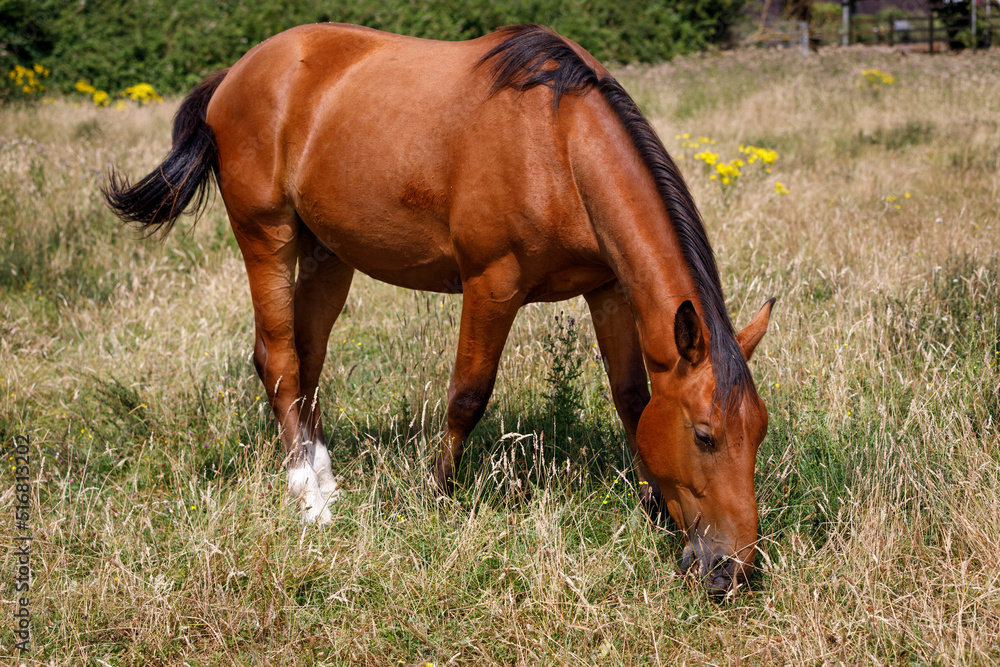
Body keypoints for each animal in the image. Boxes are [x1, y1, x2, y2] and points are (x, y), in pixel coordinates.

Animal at [104, 23, 774, 595]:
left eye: (759, 432)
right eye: (706, 436)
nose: (733, 570)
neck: (555, 142)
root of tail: (236, 74)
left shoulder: (608, 289)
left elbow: (632, 400)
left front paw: (653, 507)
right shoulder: (492, 285)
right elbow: (468, 394)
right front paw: (436, 497)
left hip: (327, 251)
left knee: (307, 359)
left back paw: (324, 477)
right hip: (266, 235)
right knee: (280, 360)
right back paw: (308, 497)